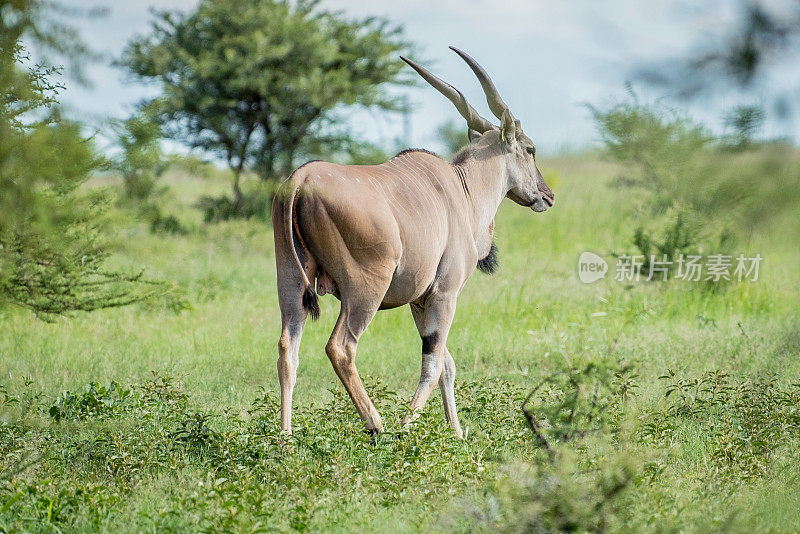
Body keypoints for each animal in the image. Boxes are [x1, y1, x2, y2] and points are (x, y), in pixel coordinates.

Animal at [272, 47, 552, 440]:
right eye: (530, 149)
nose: (547, 194)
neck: (463, 189)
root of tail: (301, 179)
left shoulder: (420, 302)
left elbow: (447, 363)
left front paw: (457, 434)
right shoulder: (444, 295)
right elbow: (433, 365)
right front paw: (408, 428)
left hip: (291, 283)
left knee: (287, 349)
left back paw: (285, 438)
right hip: (365, 292)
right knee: (341, 347)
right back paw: (376, 425)